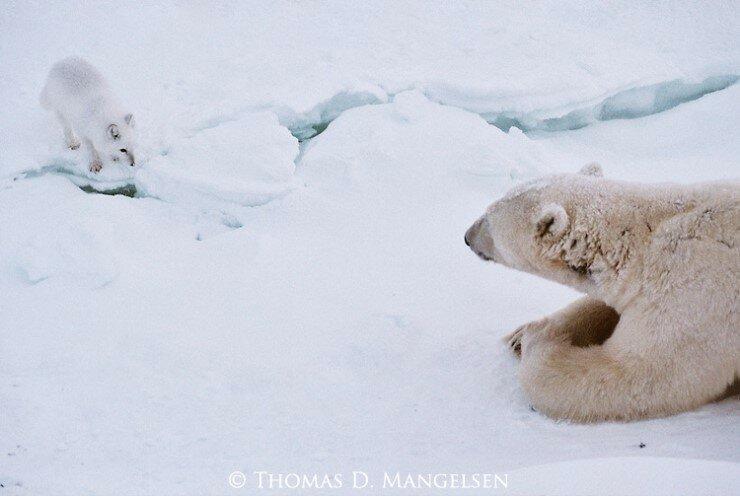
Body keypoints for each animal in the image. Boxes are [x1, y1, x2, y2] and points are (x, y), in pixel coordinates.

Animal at [466, 165, 736, 420]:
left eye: (489, 220)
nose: (467, 236)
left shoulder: (695, 294)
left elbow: (638, 374)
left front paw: (541, 340)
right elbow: (602, 306)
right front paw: (520, 335)